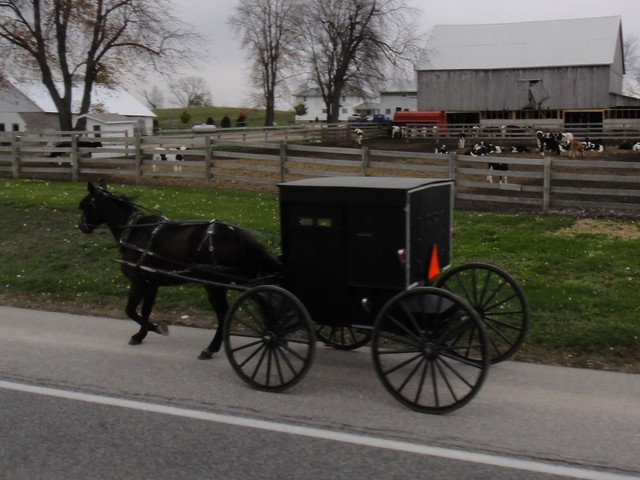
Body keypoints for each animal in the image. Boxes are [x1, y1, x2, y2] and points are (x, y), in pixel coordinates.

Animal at [77, 182, 280, 358]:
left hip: (215, 286)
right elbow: (145, 311)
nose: (81, 226)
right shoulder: (151, 284)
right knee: (261, 302)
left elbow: (131, 311)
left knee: (224, 315)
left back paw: (212, 348)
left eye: (86, 206)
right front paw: (141, 335)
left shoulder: (139, 282)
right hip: (243, 279)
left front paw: (157, 328)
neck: (134, 231)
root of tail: (236, 234)